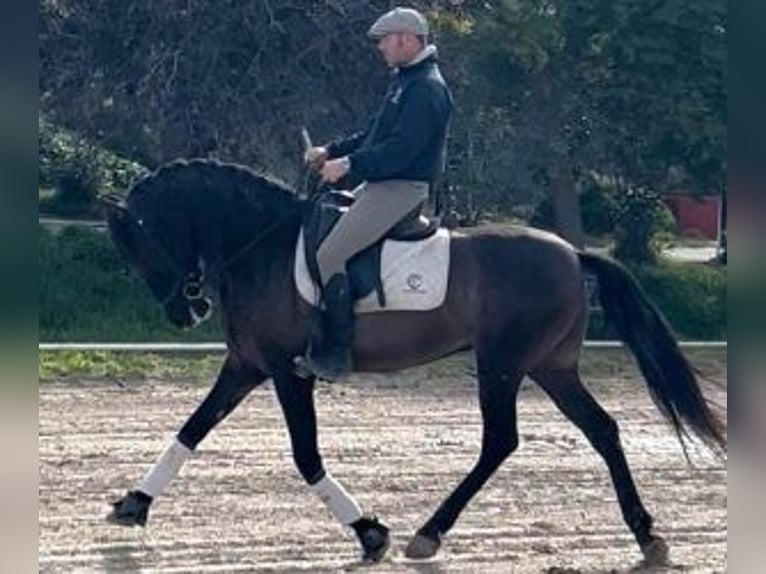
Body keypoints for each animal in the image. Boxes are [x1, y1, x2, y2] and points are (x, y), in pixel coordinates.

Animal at [101, 158, 726, 565]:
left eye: (140, 242)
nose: (186, 312)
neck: (265, 246)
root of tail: (572, 251)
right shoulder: (247, 364)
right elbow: (192, 429)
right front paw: (133, 503)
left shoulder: (285, 369)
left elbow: (305, 454)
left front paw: (369, 533)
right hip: (550, 367)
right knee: (602, 429)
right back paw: (646, 536)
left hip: (503, 364)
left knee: (501, 440)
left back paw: (428, 532)